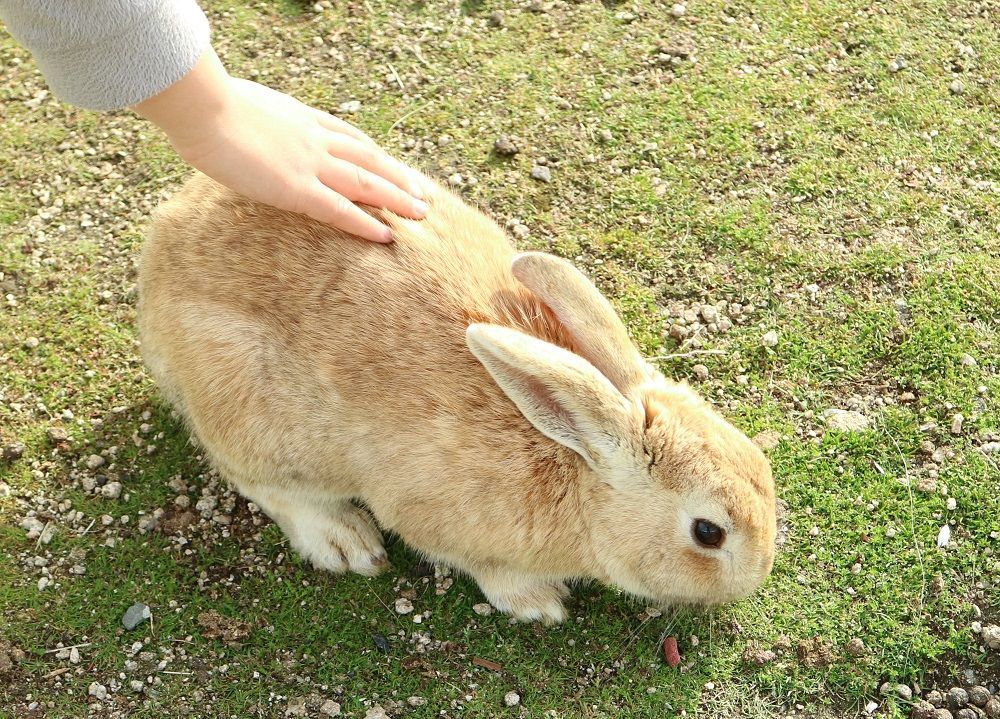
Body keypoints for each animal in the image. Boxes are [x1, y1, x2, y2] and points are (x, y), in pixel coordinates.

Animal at [137, 172, 776, 620]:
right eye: (708, 533)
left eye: (760, 465)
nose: (756, 576)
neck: (578, 473)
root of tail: (161, 245)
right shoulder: (431, 519)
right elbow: (481, 567)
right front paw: (538, 603)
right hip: (249, 416)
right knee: (260, 482)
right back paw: (344, 541)